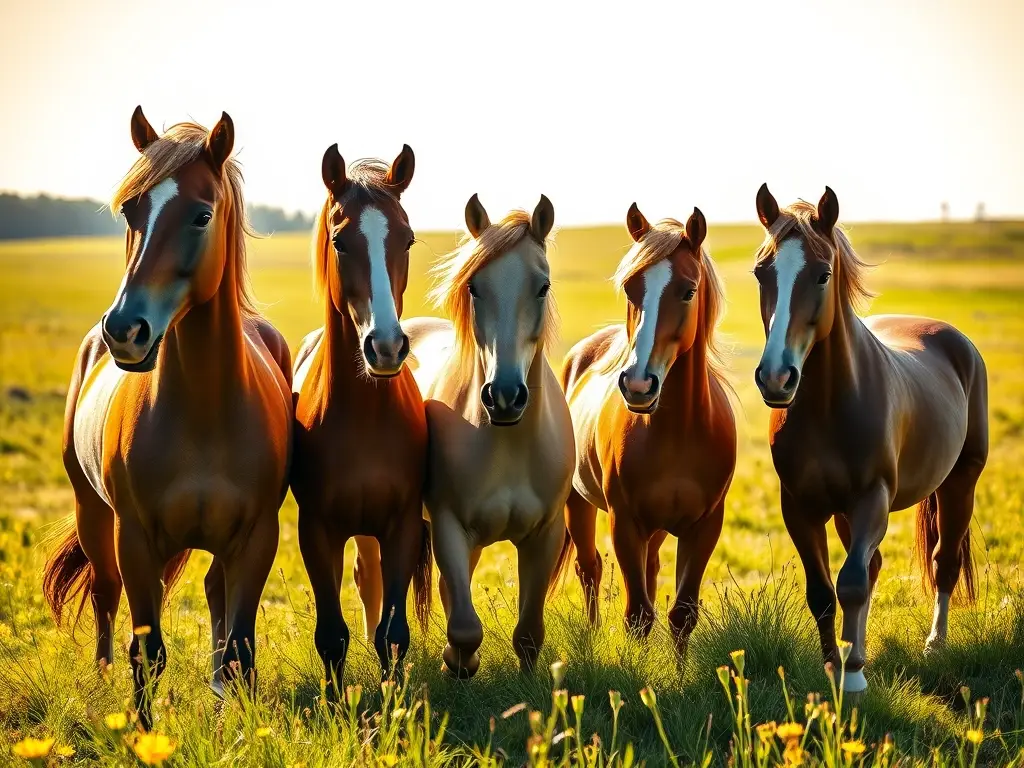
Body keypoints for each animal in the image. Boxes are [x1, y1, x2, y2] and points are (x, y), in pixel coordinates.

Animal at [42, 107, 294, 727]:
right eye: (131, 210)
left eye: (202, 214)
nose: (124, 330)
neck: (203, 411)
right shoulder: (134, 537)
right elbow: (147, 649)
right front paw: (142, 730)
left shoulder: (257, 537)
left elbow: (241, 646)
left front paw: (236, 725)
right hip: (93, 516)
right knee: (106, 595)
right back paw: (101, 680)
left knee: (214, 593)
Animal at [290, 143, 430, 688]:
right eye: (340, 241)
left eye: (407, 239)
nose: (386, 346)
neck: (366, 418)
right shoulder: (315, 530)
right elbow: (331, 634)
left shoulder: (403, 524)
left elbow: (393, 633)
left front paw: (395, 698)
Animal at [403, 193, 575, 678]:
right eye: (475, 288)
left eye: (543, 286)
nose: (504, 396)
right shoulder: (448, 524)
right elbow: (464, 628)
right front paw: (456, 666)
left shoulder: (545, 534)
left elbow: (529, 631)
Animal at [560, 204, 736, 654]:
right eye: (630, 288)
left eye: (688, 291)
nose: (638, 384)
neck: (677, 432)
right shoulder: (625, 522)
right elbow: (637, 615)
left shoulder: (704, 527)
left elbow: (681, 614)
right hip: (578, 503)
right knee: (589, 569)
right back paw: (591, 635)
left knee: (650, 567)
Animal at [751, 184, 988, 692]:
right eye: (761, 272)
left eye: (823, 275)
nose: (776, 377)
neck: (829, 406)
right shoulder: (800, 507)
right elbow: (824, 590)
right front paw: (834, 665)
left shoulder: (871, 499)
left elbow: (853, 582)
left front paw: (854, 678)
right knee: (873, 567)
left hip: (961, 482)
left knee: (944, 560)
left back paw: (934, 643)